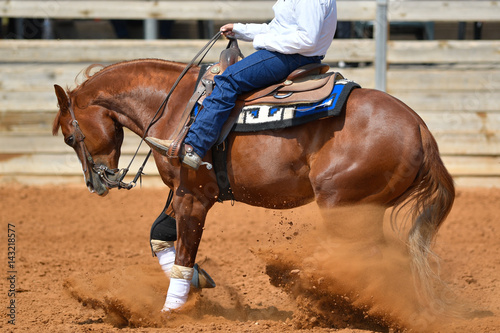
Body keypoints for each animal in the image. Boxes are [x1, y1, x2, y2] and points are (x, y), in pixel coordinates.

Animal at [53, 58, 454, 310]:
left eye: (71, 137)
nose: (96, 183)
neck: (178, 107)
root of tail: (419, 128)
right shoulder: (179, 191)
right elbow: (159, 237)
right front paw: (198, 282)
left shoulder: (193, 197)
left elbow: (183, 252)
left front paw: (173, 309)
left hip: (342, 205)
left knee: (360, 258)